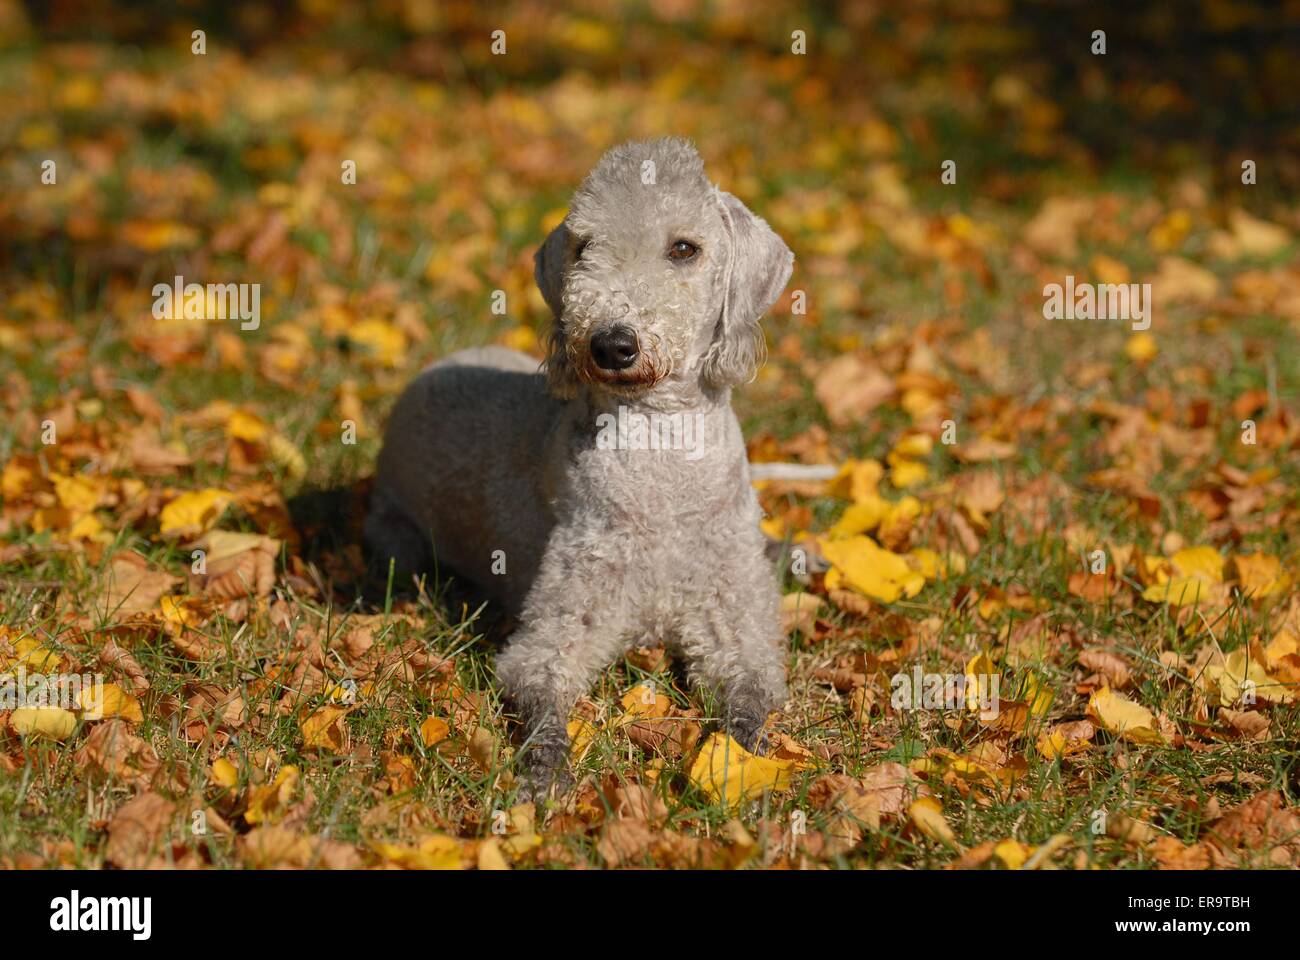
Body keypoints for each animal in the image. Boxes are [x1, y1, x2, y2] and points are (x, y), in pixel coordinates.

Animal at [364, 134, 790, 790]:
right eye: (584, 247)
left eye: (685, 248)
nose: (611, 345)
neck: (660, 456)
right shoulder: (562, 621)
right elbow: (539, 684)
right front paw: (547, 778)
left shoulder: (735, 619)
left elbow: (752, 697)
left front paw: (740, 763)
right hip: (397, 542)